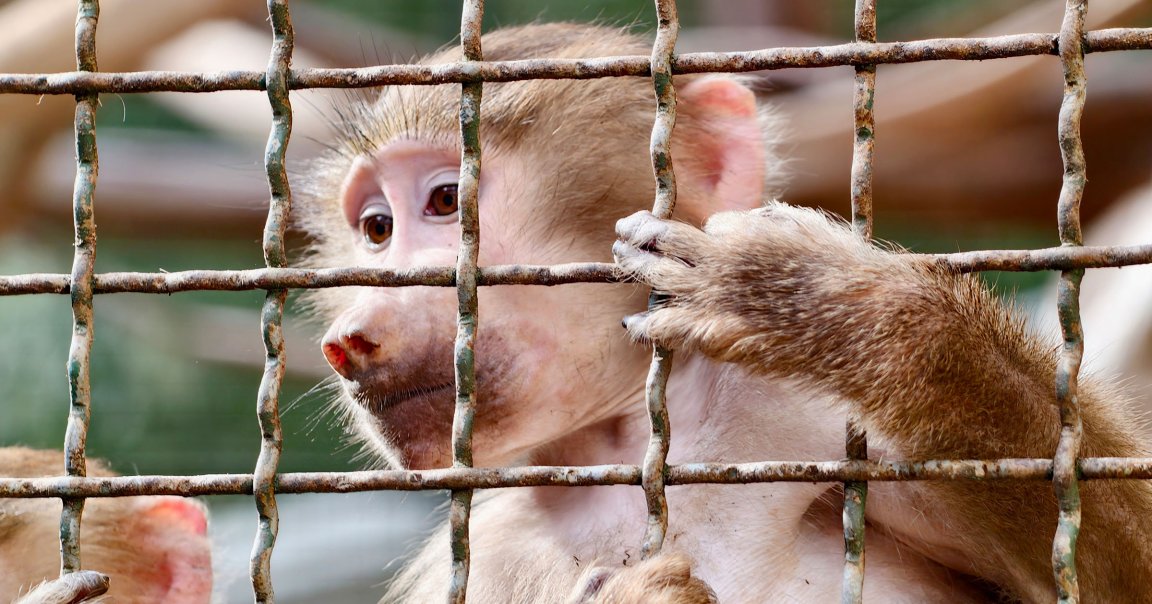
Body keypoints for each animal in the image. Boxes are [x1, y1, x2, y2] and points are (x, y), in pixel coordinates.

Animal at [297, 23, 1152, 602]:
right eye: (376, 229)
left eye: (446, 201)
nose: (348, 339)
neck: (626, 437)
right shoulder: (497, 550)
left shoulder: (813, 424)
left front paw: (826, 307)